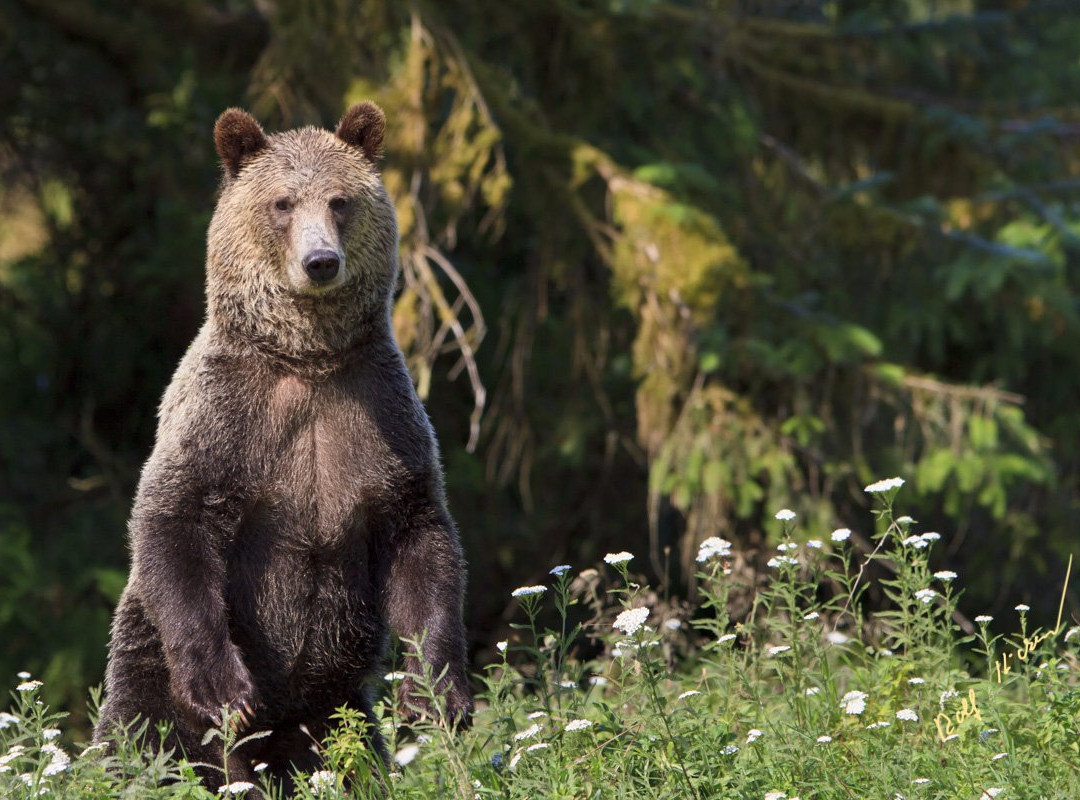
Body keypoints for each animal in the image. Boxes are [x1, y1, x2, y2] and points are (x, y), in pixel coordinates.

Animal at [96, 103, 473, 790]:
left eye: (340, 200)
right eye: (282, 202)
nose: (320, 260)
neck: (308, 361)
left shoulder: (380, 418)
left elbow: (421, 538)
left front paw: (436, 694)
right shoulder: (228, 418)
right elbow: (174, 519)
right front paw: (225, 687)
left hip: (334, 708)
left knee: (351, 757)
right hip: (146, 664)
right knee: (141, 736)